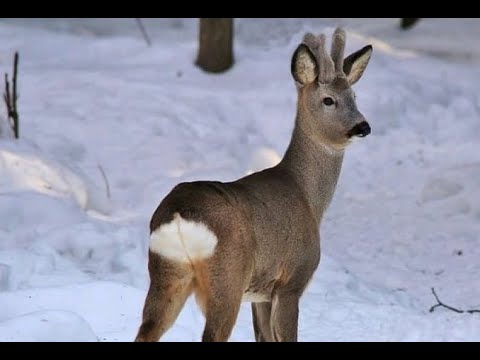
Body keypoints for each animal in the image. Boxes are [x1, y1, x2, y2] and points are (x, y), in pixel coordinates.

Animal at [135, 27, 372, 340]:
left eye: (354, 95)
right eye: (328, 100)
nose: (363, 127)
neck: (309, 197)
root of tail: (178, 216)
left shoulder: (261, 293)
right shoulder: (291, 280)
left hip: (167, 272)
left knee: (146, 329)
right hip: (228, 277)